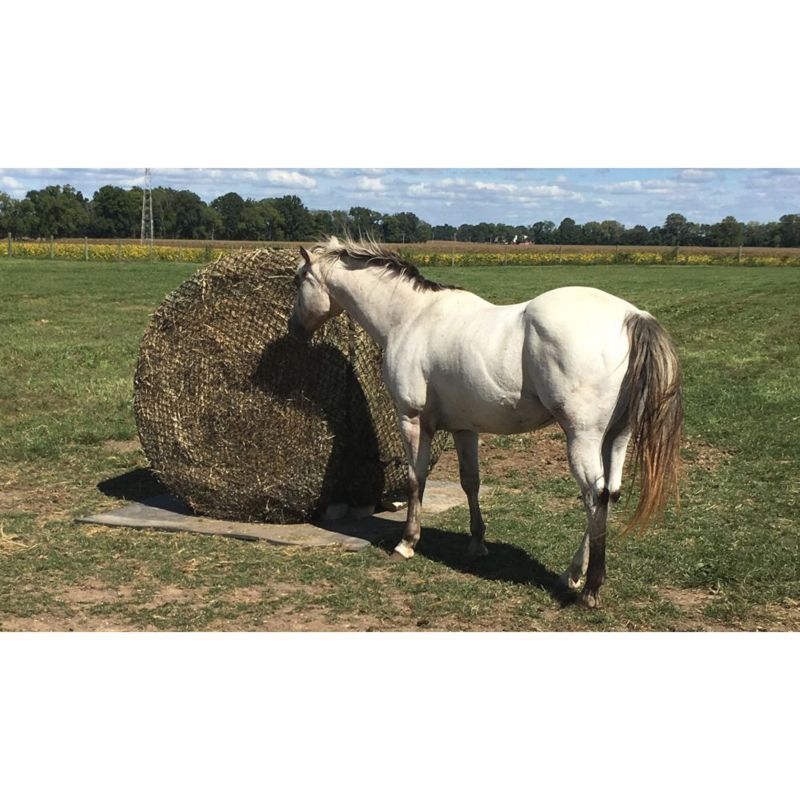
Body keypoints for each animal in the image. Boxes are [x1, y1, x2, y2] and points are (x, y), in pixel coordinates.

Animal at [288, 238, 680, 608]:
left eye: (297, 280)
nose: (295, 331)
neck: (411, 317)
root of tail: (631, 316)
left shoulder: (412, 419)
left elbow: (416, 479)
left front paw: (407, 542)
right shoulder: (465, 429)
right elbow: (470, 482)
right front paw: (477, 543)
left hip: (582, 437)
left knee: (594, 497)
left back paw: (590, 589)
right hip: (617, 436)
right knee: (609, 494)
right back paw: (572, 575)